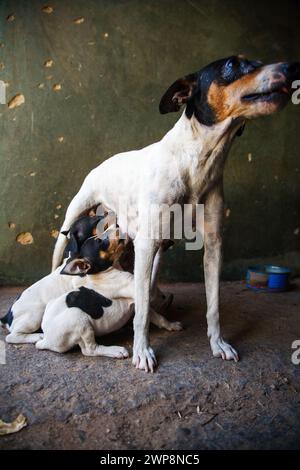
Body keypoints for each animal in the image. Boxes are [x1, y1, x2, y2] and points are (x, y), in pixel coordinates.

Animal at [35, 237, 182, 358]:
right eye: (99, 241)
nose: (118, 226)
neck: (103, 272)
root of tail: (46, 339)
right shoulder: (143, 289)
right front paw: (161, 246)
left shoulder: (137, 302)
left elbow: (157, 317)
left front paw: (171, 325)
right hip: (78, 319)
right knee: (90, 350)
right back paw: (116, 351)